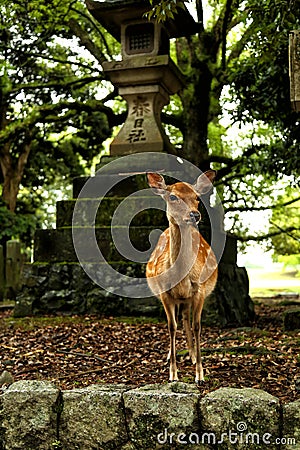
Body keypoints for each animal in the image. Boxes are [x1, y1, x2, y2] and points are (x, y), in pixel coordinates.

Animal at [146, 171, 218, 384]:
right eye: (172, 197)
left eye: (197, 198)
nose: (195, 215)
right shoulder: (165, 293)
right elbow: (171, 326)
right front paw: (173, 374)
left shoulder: (199, 290)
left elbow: (197, 326)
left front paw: (200, 374)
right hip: (179, 298)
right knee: (180, 321)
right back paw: (172, 355)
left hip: (187, 298)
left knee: (186, 319)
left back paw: (192, 356)